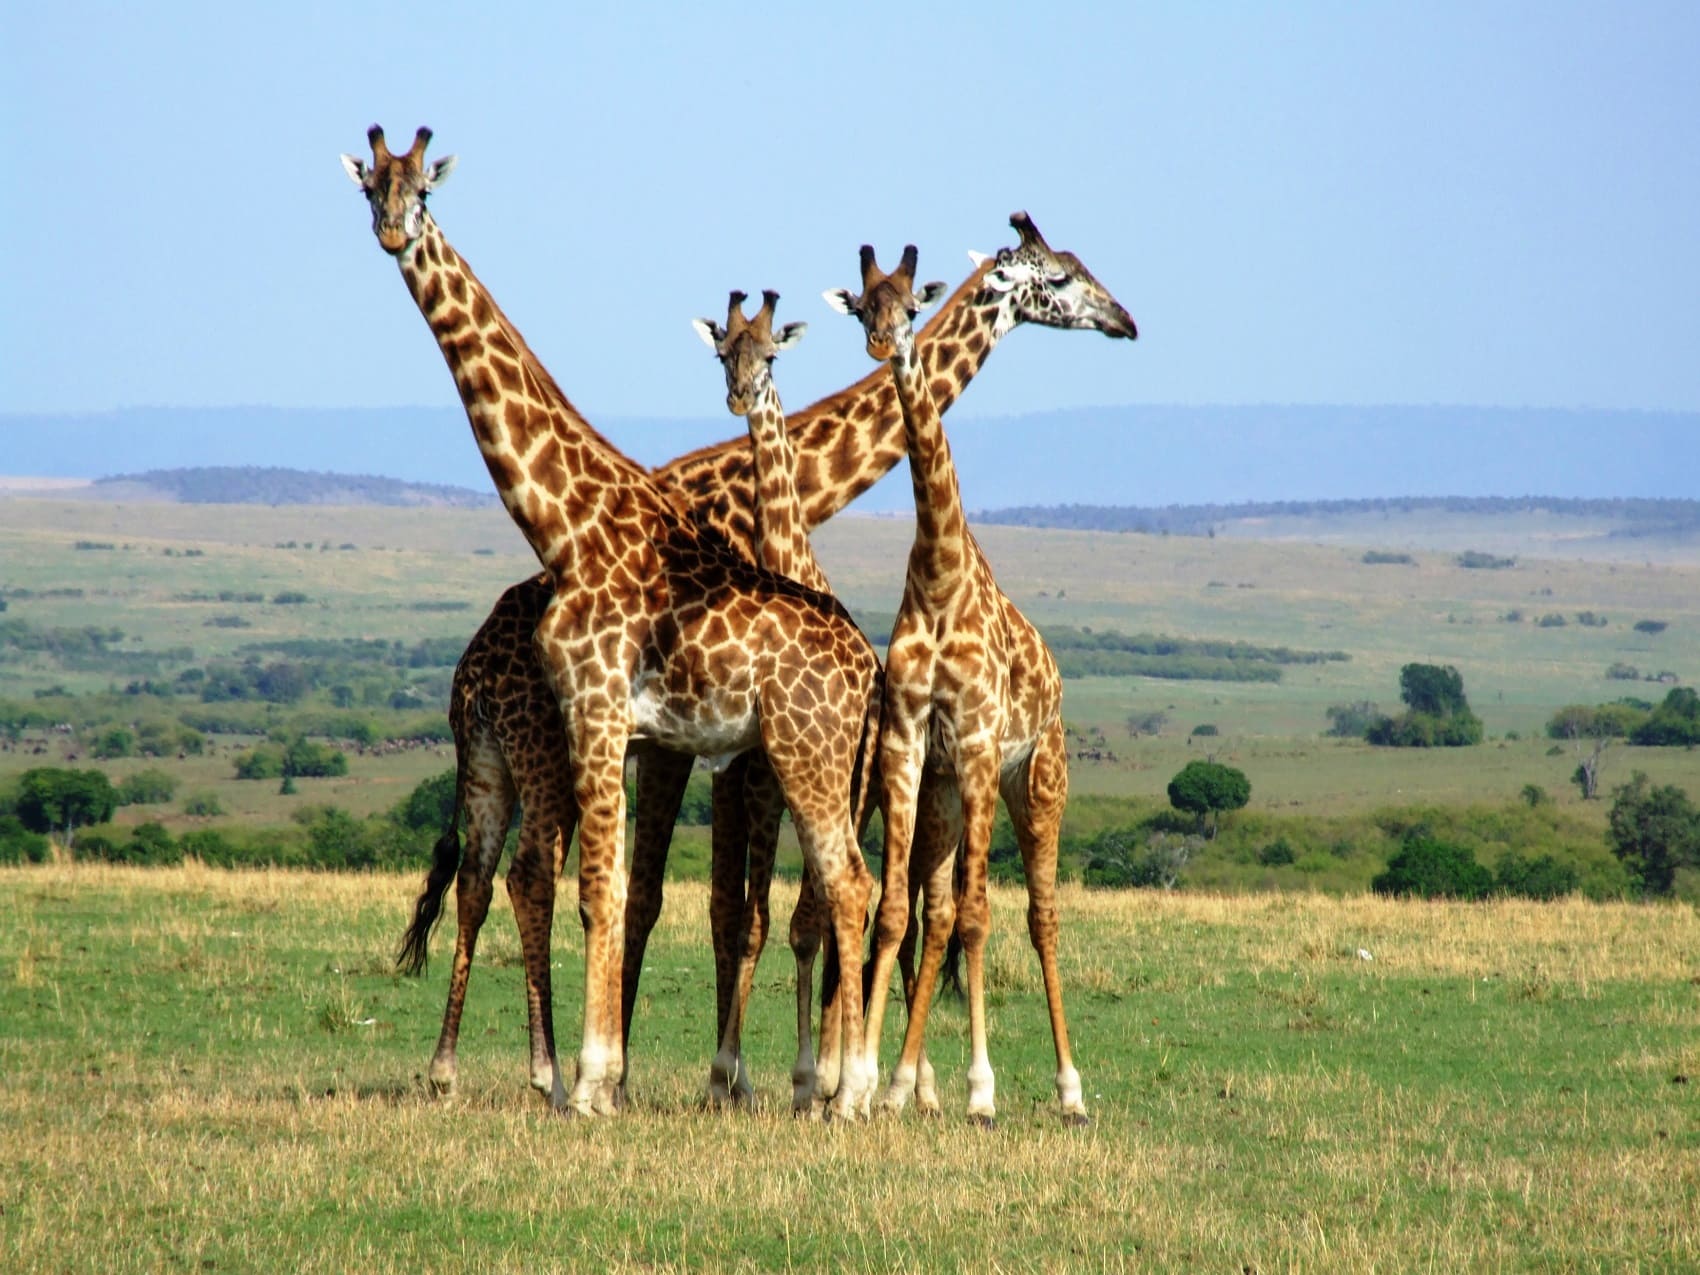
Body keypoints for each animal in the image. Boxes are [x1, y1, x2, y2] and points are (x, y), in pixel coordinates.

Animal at [338, 127, 884, 1115]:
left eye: (423, 190)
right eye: (371, 186)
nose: (394, 231)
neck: (565, 522)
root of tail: (869, 665)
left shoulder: (595, 707)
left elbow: (601, 887)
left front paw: (588, 1080)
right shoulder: (606, 721)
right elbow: (612, 885)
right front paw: (595, 1074)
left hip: (806, 754)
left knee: (848, 887)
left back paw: (848, 1091)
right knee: (836, 888)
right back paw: (837, 1087)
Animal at [822, 246, 1101, 1128]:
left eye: (911, 305)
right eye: (863, 307)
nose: (884, 347)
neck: (941, 573)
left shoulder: (978, 747)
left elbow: (980, 917)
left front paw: (979, 1088)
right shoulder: (911, 745)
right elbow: (897, 913)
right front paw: (862, 1084)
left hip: (1034, 783)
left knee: (1038, 915)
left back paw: (1068, 1089)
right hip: (947, 795)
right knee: (939, 910)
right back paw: (906, 1082)